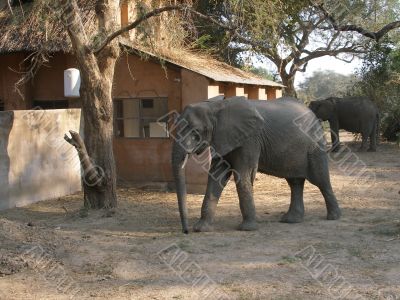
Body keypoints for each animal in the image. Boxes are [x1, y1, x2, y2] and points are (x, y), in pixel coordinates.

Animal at [171, 95, 340, 233]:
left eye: (196, 132)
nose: (185, 231)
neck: (216, 107)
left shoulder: (250, 139)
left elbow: (243, 175)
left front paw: (247, 228)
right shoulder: (222, 138)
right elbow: (216, 176)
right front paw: (201, 229)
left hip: (315, 145)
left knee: (320, 179)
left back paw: (334, 217)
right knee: (295, 182)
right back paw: (291, 220)